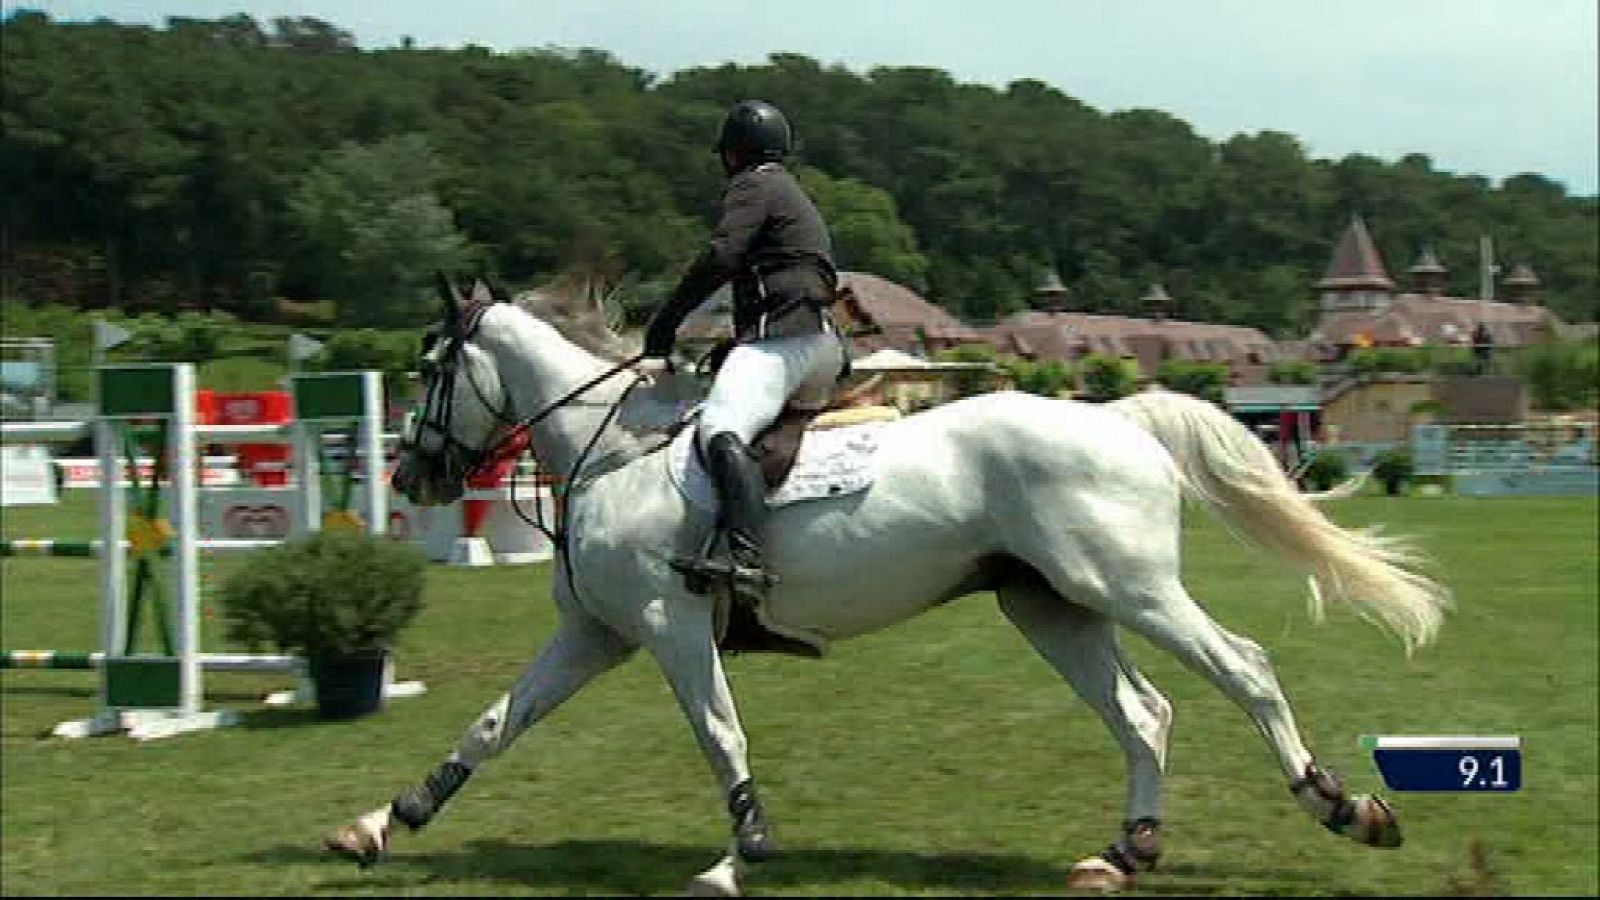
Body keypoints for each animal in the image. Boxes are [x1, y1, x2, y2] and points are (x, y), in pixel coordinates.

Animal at [324, 277, 1452, 890]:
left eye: (429, 366)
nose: (410, 477)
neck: (612, 451)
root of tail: (1118, 415)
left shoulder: (668, 628)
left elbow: (721, 736)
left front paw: (739, 857)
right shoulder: (595, 635)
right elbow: (489, 728)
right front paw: (381, 823)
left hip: (1129, 589)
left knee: (1243, 669)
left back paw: (1340, 806)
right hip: (1052, 605)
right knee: (1145, 712)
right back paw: (1123, 853)